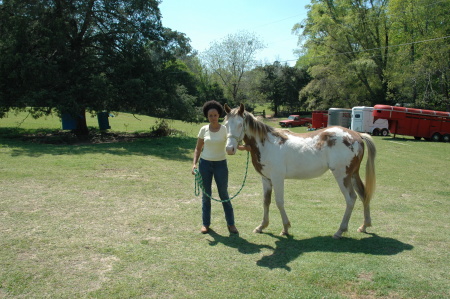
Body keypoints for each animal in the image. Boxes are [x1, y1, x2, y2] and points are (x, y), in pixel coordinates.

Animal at [224, 104, 376, 240]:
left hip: (342, 176)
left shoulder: (277, 178)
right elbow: (266, 201)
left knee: (351, 199)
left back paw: (340, 231)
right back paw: (364, 226)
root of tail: (357, 135)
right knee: (363, 195)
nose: (229, 149)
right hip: (353, 174)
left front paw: (285, 228)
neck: (267, 143)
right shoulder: (266, 179)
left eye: (240, 124)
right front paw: (261, 226)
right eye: (225, 124)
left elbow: (279, 202)